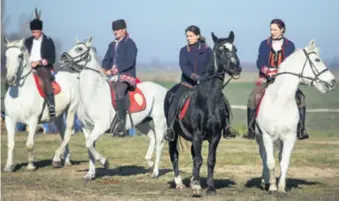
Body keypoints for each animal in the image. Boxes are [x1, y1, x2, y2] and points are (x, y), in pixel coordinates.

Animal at [3, 37, 80, 171]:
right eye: (6, 55)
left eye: (19, 56)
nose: (10, 79)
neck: (20, 93)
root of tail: (73, 76)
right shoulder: (9, 119)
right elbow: (11, 144)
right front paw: (9, 166)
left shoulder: (33, 120)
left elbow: (29, 144)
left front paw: (30, 165)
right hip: (58, 116)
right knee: (63, 132)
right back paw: (65, 159)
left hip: (71, 109)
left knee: (68, 132)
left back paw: (57, 159)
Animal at [60, 37, 169, 180]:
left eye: (80, 49)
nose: (62, 57)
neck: (93, 93)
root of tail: (164, 90)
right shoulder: (87, 128)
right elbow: (89, 148)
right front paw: (90, 174)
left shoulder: (100, 126)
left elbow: (89, 144)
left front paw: (104, 162)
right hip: (142, 123)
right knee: (152, 137)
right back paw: (149, 162)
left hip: (159, 123)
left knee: (159, 144)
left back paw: (155, 172)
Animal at [164, 31, 242, 196]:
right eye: (221, 50)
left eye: (235, 49)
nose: (236, 67)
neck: (209, 99)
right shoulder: (198, 134)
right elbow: (199, 159)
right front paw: (197, 187)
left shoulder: (215, 136)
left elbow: (210, 160)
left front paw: (210, 188)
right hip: (174, 135)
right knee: (174, 155)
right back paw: (179, 183)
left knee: (193, 155)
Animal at [256, 39, 336, 193]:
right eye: (317, 59)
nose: (333, 82)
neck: (280, 101)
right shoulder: (267, 136)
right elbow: (270, 162)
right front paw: (272, 186)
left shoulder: (290, 137)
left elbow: (284, 162)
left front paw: (281, 187)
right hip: (260, 138)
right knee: (264, 156)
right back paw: (265, 181)